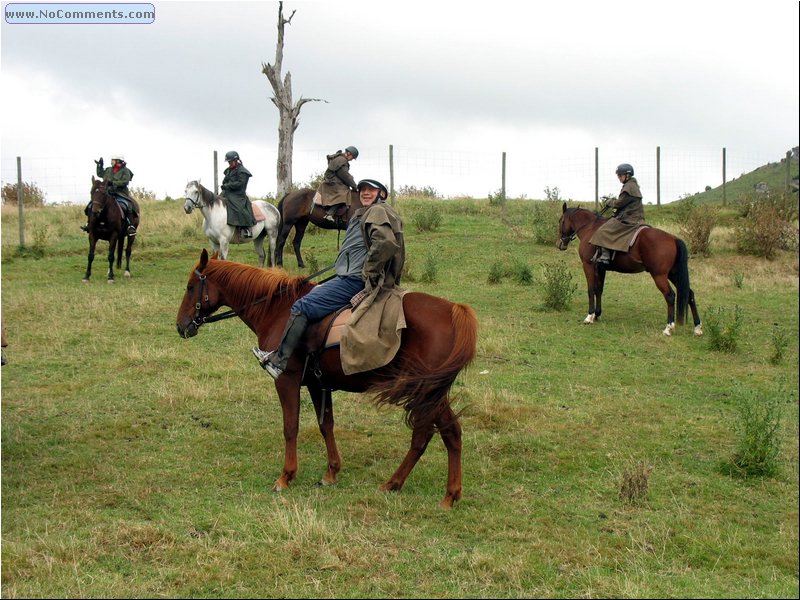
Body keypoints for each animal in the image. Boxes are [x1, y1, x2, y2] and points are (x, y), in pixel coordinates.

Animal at [175, 251, 476, 508]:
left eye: (190, 287)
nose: (181, 326)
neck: (278, 309)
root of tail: (453, 310)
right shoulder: (318, 383)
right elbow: (325, 425)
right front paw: (331, 472)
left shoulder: (286, 380)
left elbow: (291, 427)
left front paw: (286, 476)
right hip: (430, 393)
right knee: (446, 432)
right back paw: (438, 491)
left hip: (425, 392)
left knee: (431, 433)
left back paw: (407, 486)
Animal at [556, 203, 700, 336]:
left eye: (560, 221)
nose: (560, 244)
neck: (590, 228)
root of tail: (673, 239)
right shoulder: (601, 268)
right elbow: (599, 290)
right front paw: (597, 314)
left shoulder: (588, 266)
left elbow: (591, 289)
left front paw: (589, 316)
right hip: (673, 274)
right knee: (690, 294)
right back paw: (697, 327)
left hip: (659, 275)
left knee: (670, 296)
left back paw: (668, 327)